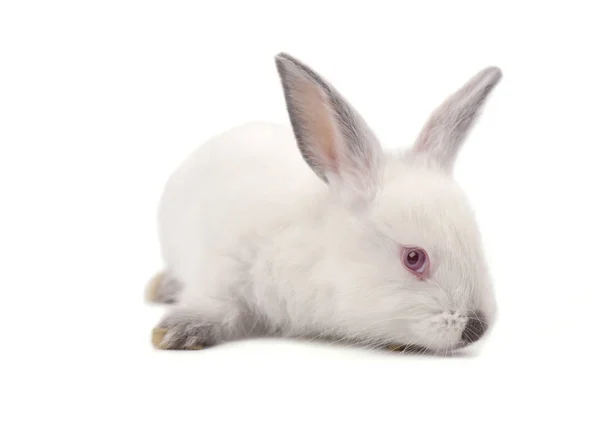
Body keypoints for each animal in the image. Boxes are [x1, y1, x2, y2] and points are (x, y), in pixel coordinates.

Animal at [145, 51, 502, 352]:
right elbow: (215, 302)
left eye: (477, 244)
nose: (476, 328)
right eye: (413, 258)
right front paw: (177, 331)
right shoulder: (224, 265)